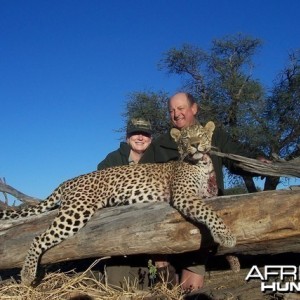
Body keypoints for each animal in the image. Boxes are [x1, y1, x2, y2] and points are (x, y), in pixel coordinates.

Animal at [0, 121, 237, 286]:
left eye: (201, 135)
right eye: (186, 138)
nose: (196, 145)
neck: (201, 164)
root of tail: (69, 180)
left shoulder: (206, 194)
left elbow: (213, 207)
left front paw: (231, 255)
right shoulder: (183, 195)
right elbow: (209, 211)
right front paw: (226, 235)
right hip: (77, 210)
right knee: (39, 237)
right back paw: (27, 274)